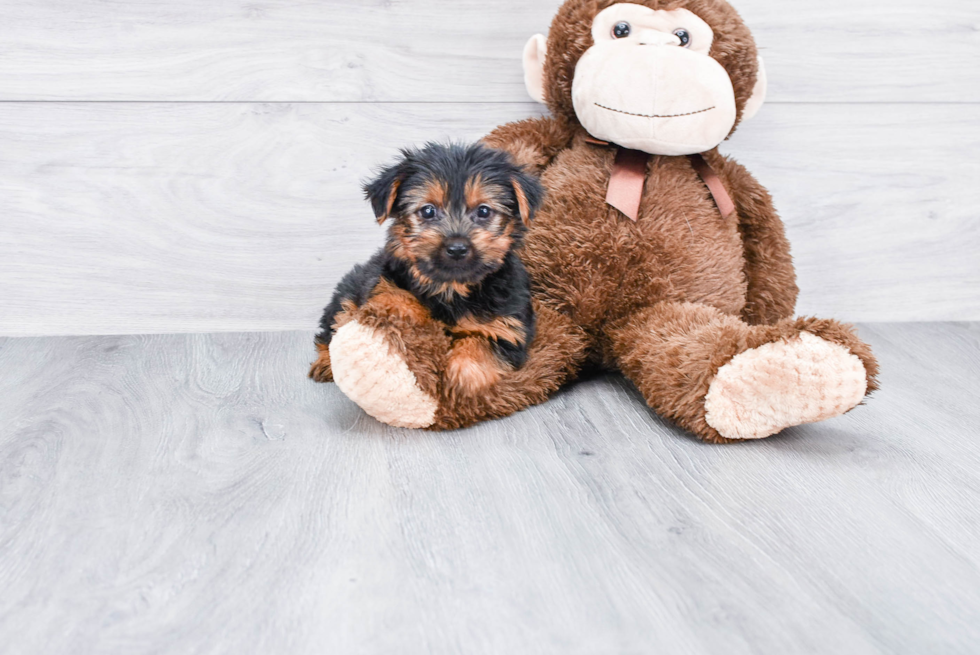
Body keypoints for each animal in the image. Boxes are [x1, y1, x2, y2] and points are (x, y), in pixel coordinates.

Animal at [310, 144, 544, 398]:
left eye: (483, 211)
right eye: (428, 211)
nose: (457, 247)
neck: (452, 286)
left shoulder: (508, 327)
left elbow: (483, 345)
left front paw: (460, 381)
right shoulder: (382, 284)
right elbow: (392, 301)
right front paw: (404, 314)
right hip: (346, 294)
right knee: (334, 325)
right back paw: (325, 362)